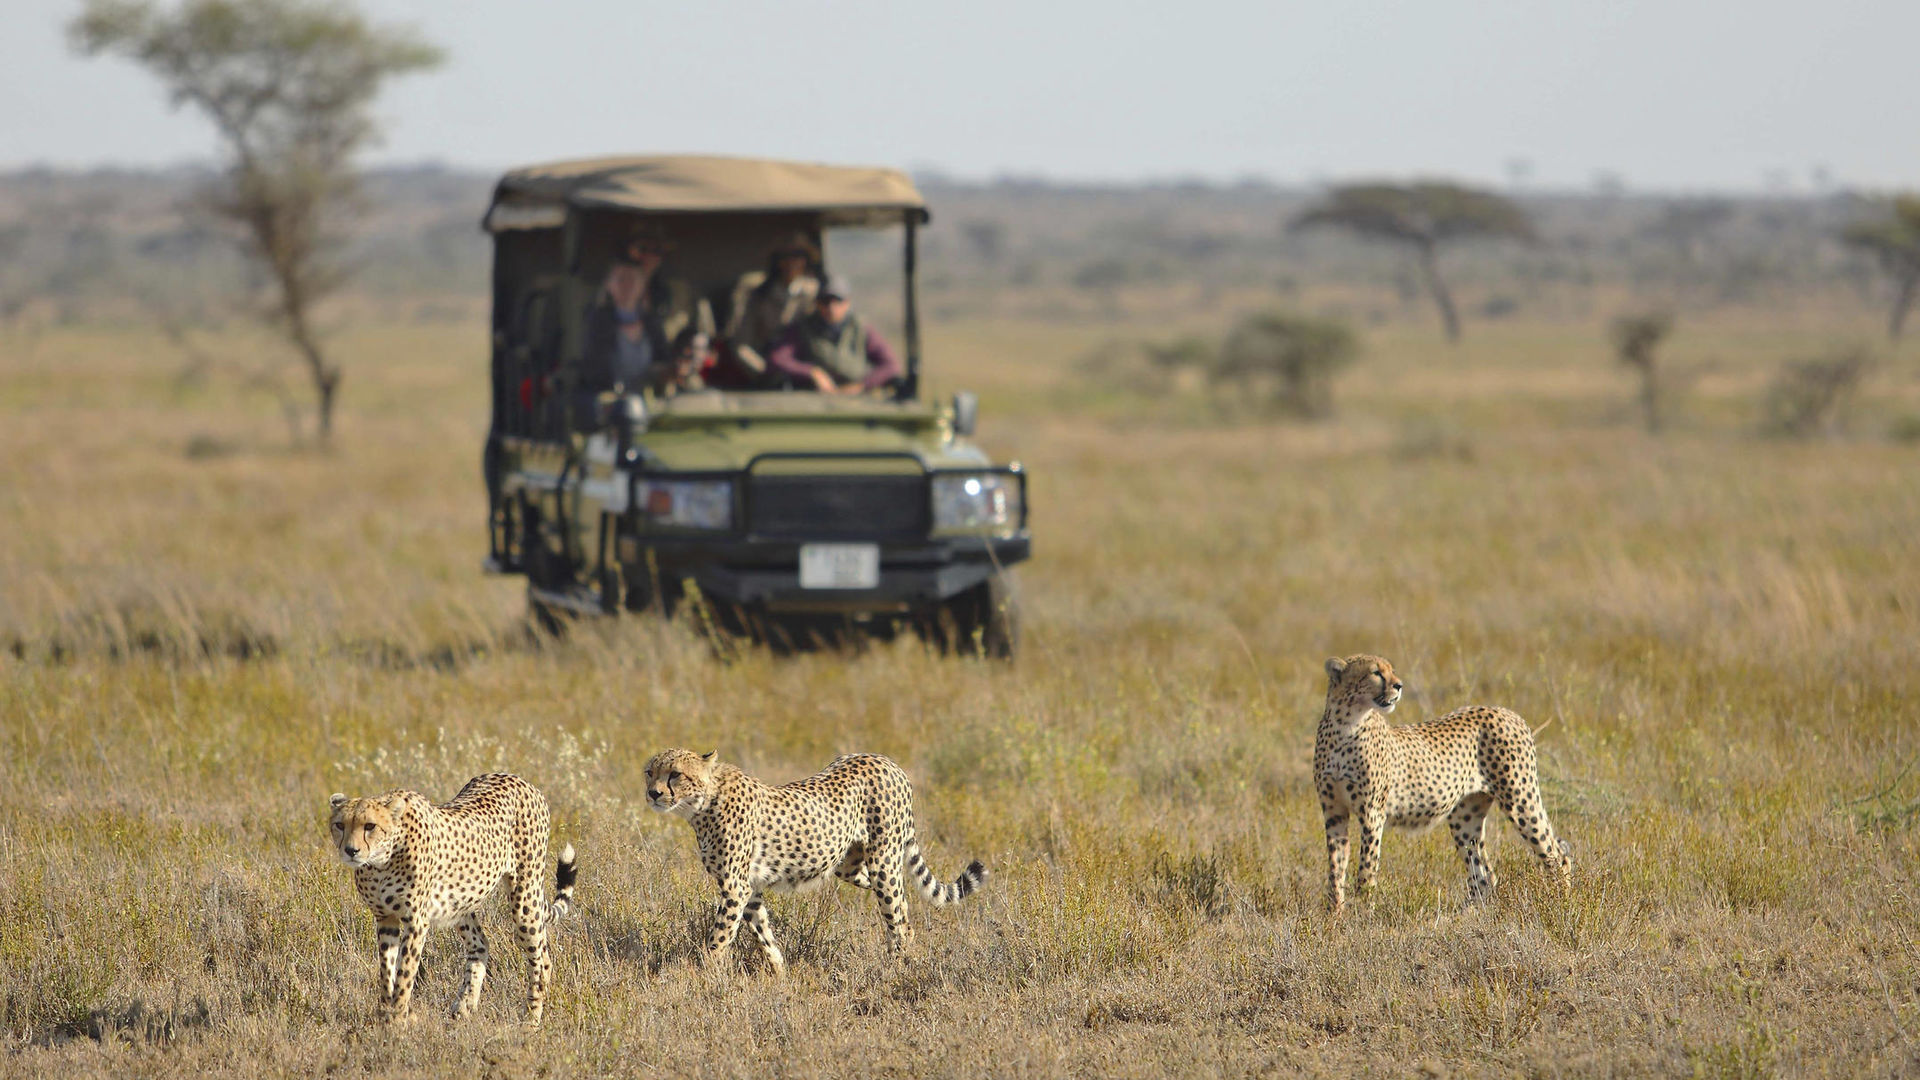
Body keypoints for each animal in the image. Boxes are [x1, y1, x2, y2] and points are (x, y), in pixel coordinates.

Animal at [328, 764, 576, 1014]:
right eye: (340, 825)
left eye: (370, 826)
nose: (351, 850)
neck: (381, 861)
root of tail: (519, 779)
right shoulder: (385, 917)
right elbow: (386, 972)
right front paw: (386, 1012)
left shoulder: (416, 920)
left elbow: (404, 974)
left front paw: (398, 1015)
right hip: (460, 902)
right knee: (480, 944)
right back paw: (463, 1009)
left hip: (525, 899)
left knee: (542, 961)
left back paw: (530, 1019)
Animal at [645, 745, 990, 972]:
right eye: (650, 772)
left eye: (675, 774)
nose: (653, 793)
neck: (702, 804)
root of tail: (884, 759)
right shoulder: (749, 889)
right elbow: (763, 934)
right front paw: (780, 975)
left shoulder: (735, 887)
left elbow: (719, 937)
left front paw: (705, 975)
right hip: (850, 865)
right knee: (902, 904)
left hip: (883, 861)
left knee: (897, 913)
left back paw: (899, 966)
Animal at [1320, 657, 1574, 907]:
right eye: (1376, 672)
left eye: (1391, 670)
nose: (1399, 685)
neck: (1346, 723)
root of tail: (1507, 711)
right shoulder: (1335, 814)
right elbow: (1336, 868)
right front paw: (1335, 913)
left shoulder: (1372, 814)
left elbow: (1366, 869)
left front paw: (1364, 912)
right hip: (1466, 816)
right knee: (1483, 875)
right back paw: (1471, 913)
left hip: (1519, 799)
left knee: (1557, 854)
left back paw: (1561, 902)